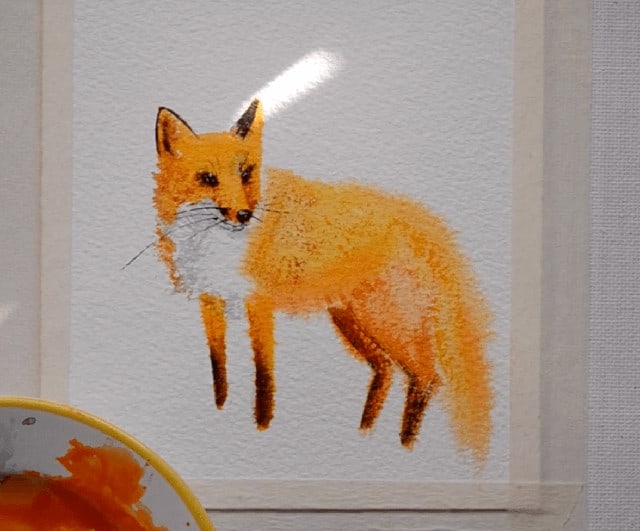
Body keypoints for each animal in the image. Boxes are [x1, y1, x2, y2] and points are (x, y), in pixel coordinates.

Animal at [153, 99, 494, 465]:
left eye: (246, 174)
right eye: (207, 178)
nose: (244, 215)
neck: (214, 246)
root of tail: (423, 222)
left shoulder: (259, 303)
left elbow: (263, 376)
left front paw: (261, 425)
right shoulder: (211, 300)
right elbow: (219, 371)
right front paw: (220, 412)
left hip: (388, 322)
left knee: (427, 377)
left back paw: (404, 445)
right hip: (352, 322)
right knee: (385, 370)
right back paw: (365, 434)